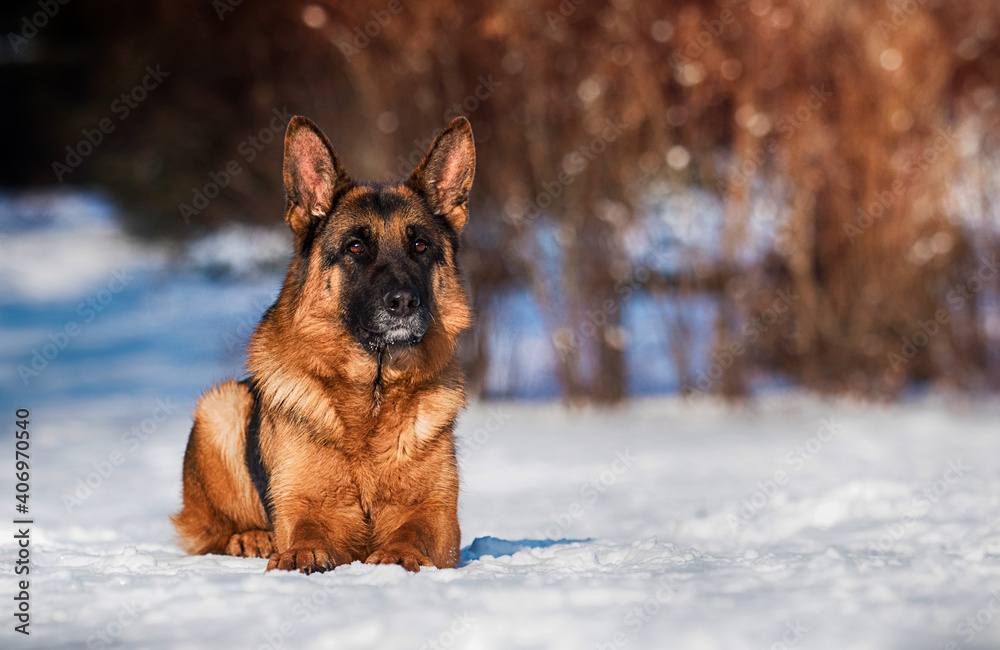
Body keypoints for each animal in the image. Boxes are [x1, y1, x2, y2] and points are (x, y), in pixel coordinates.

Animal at [173, 116, 476, 572]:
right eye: (356, 246)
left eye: (420, 246)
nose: (405, 302)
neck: (372, 393)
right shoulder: (304, 504)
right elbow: (307, 530)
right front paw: (302, 553)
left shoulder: (437, 516)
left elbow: (414, 532)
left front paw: (397, 554)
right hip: (220, 407)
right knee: (216, 531)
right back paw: (252, 538)